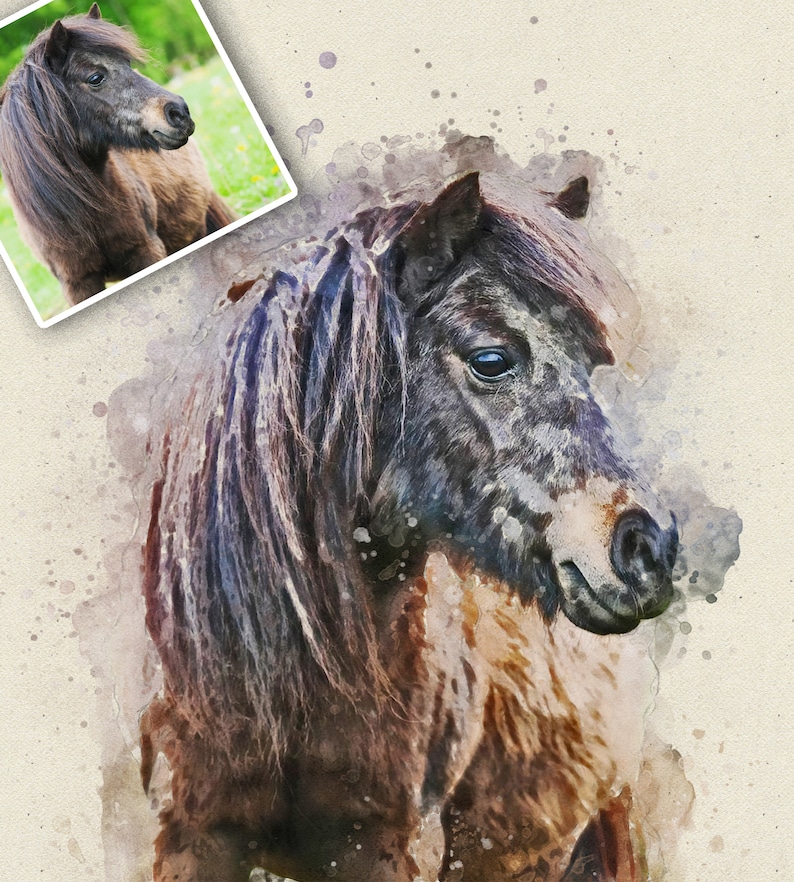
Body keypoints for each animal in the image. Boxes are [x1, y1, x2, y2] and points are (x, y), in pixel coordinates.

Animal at [0, 4, 236, 307]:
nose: (179, 112)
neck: (87, 211)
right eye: (95, 78)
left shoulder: (147, 251)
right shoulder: (77, 284)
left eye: (128, 65)